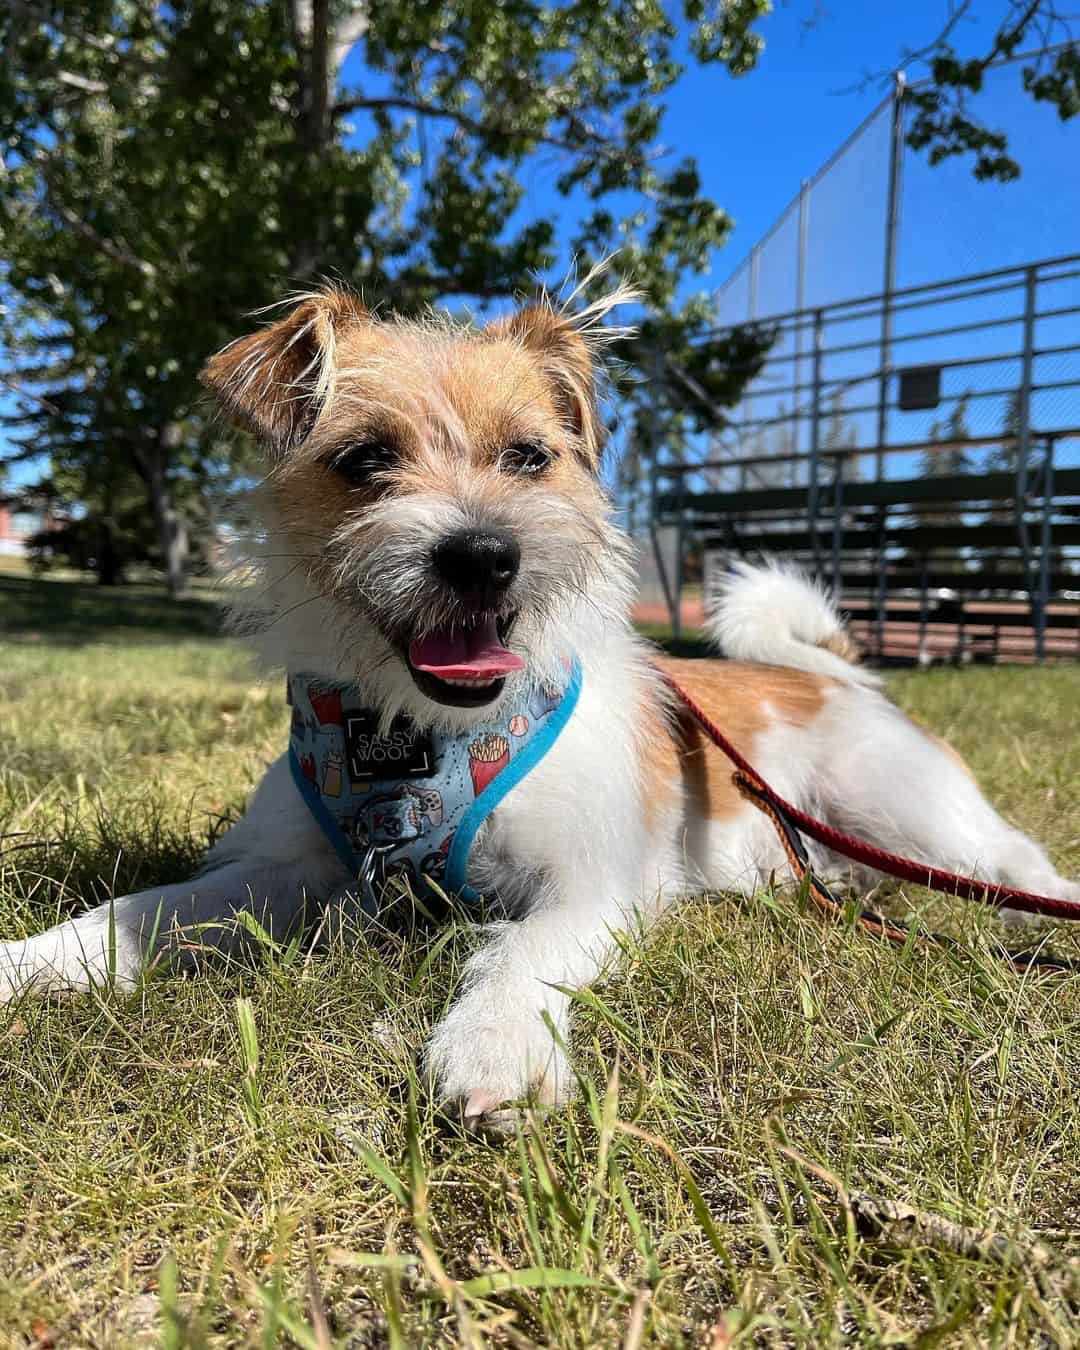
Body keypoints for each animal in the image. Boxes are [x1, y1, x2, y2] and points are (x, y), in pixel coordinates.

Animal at [4, 287, 1074, 1128]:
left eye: (529, 457)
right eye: (364, 460)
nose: (483, 554)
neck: (420, 738)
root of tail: (833, 675)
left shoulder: (588, 887)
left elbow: (518, 951)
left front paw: (495, 1050)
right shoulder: (283, 871)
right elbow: (141, 912)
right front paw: (30, 962)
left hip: (903, 808)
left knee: (1013, 860)